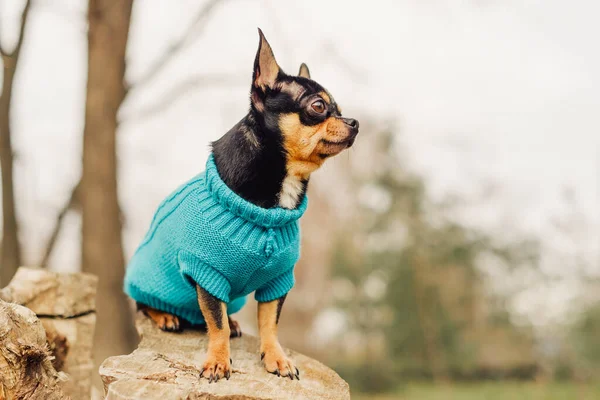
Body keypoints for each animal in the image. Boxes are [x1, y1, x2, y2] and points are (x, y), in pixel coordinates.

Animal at [124, 28, 358, 382]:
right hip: (148, 277)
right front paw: (218, 361)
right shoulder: (206, 273)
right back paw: (164, 315)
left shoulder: (278, 279)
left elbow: (270, 323)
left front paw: (276, 357)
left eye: (339, 109)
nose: (355, 122)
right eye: (318, 106)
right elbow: (216, 324)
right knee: (144, 303)